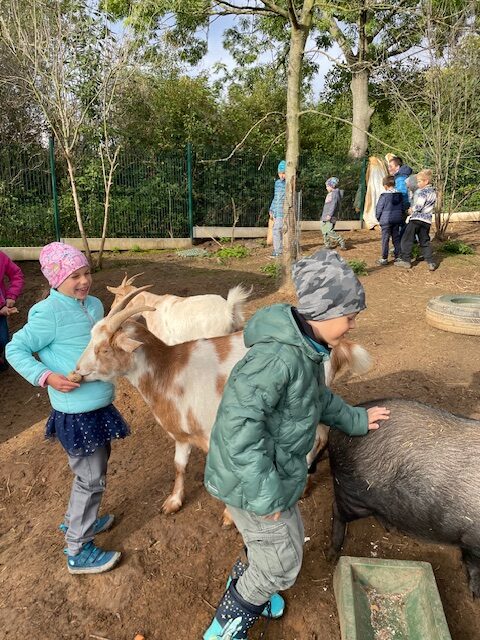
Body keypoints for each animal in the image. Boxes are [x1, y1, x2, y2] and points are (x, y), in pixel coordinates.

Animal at [75, 288, 371, 519]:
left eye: (104, 348)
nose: (78, 371)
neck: (168, 370)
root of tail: (333, 347)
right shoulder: (182, 435)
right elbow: (179, 466)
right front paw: (173, 502)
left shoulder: (213, 434)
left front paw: (230, 515)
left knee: (315, 437)